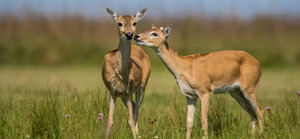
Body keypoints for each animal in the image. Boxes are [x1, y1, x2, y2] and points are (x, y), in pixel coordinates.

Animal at [102, 8, 151, 138]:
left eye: (135, 23)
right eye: (119, 23)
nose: (129, 34)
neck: (120, 72)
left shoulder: (129, 90)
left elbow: (130, 121)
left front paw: (135, 135)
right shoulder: (112, 91)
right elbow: (109, 121)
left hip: (142, 86)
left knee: (136, 110)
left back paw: (138, 134)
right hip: (123, 95)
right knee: (134, 106)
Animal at [135, 24, 264, 138]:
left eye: (154, 33)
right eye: (147, 29)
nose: (136, 36)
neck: (184, 67)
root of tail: (257, 62)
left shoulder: (204, 91)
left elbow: (203, 120)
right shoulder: (190, 95)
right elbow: (189, 122)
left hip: (250, 88)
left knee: (260, 111)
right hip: (236, 92)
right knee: (253, 114)